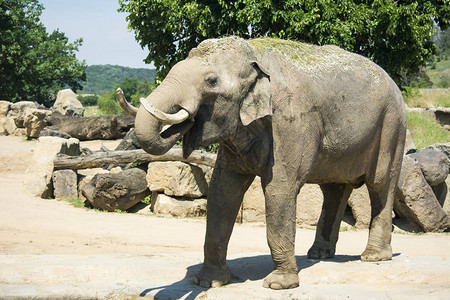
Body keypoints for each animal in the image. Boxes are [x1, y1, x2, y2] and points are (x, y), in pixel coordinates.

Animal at [117, 36, 408, 290]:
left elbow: (279, 189)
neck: (256, 55)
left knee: (380, 183)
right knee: (334, 188)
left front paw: (278, 285)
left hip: (392, 125)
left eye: (211, 81)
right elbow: (223, 189)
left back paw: (373, 257)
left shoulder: (291, 121)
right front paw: (209, 282)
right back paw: (318, 255)